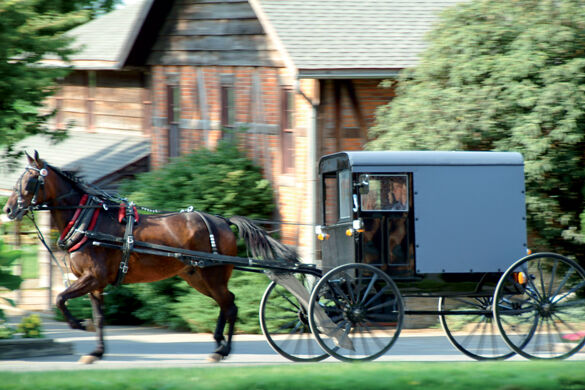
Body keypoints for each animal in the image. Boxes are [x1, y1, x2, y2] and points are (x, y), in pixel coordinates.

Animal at [3, 151, 296, 364]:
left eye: (29, 182)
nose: (8, 209)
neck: (87, 220)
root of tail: (222, 221)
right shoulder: (95, 284)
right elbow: (98, 317)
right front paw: (96, 351)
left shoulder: (93, 277)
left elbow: (60, 298)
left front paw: (78, 324)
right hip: (197, 277)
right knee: (227, 303)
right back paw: (218, 343)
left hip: (213, 275)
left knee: (230, 306)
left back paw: (222, 350)